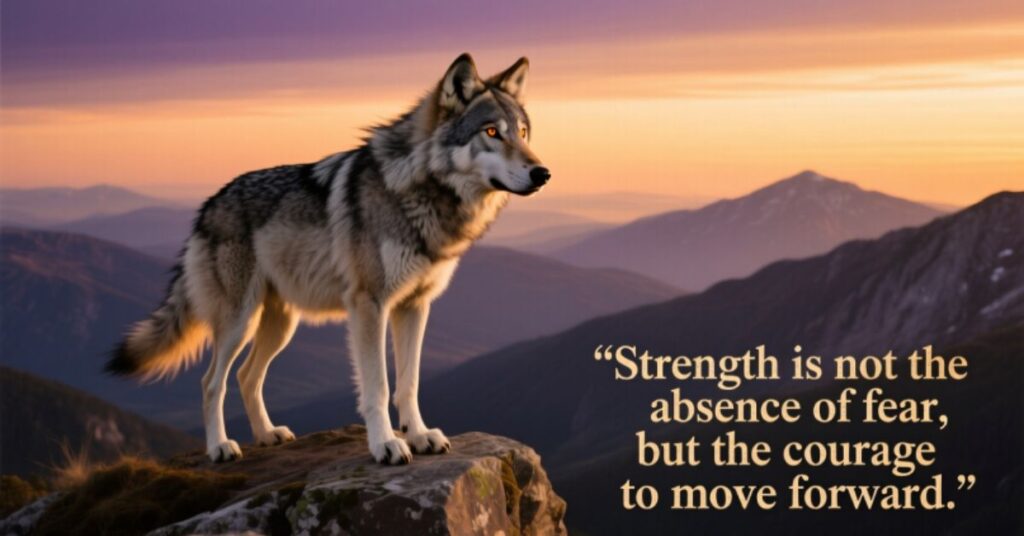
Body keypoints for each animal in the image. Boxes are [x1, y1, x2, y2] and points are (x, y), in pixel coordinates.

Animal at [106, 54, 549, 464]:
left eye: (523, 133)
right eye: (491, 132)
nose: (542, 173)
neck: (421, 192)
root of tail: (206, 207)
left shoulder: (414, 305)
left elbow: (409, 382)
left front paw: (420, 436)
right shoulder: (369, 305)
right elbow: (379, 386)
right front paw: (386, 445)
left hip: (281, 324)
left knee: (248, 376)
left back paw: (267, 435)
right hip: (239, 321)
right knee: (212, 382)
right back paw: (220, 447)